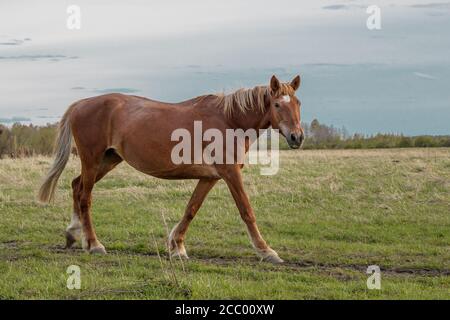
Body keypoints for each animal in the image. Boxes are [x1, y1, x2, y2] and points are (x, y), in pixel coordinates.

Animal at [38, 74, 304, 262]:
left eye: (298, 103)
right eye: (277, 105)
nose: (297, 137)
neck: (229, 120)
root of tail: (80, 104)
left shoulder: (211, 177)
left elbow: (191, 209)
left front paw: (177, 247)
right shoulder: (230, 173)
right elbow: (246, 211)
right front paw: (267, 251)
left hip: (108, 160)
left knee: (76, 186)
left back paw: (74, 234)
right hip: (92, 160)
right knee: (85, 196)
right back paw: (94, 244)